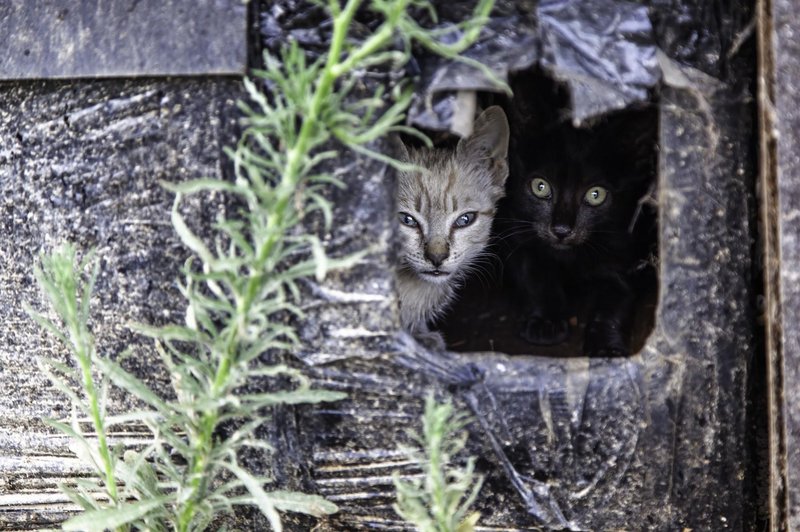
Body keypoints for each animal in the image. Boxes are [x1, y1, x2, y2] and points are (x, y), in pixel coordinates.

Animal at [500, 111, 656, 358]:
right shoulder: (514, 230)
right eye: (540, 186)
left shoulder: (626, 252)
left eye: (596, 194)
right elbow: (533, 273)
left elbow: (616, 300)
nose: (562, 230)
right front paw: (545, 322)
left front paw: (607, 347)